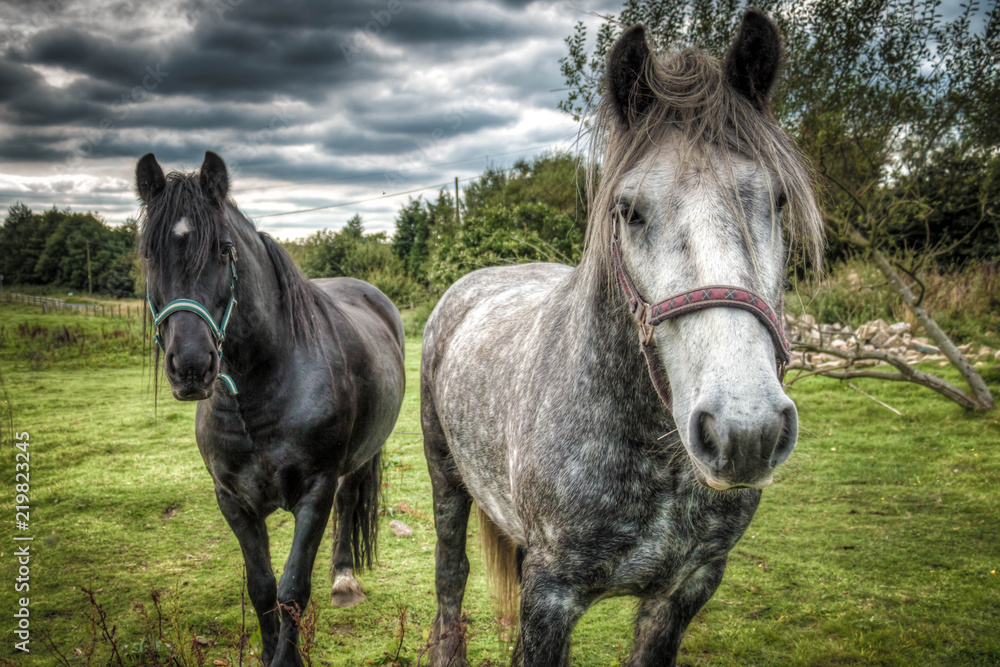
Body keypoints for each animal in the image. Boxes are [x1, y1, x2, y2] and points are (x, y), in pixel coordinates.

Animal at [136, 151, 405, 666]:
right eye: (148, 254)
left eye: (224, 250)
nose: (192, 365)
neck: (259, 394)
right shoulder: (233, 501)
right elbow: (261, 588)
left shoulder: (315, 492)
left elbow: (293, 589)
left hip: (358, 460)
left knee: (348, 501)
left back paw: (344, 579)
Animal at [420, 11, 823, 666]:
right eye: (629, 210)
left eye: (778, 200)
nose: (746, 431)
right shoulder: (551, 596)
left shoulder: (685, 589)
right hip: (446, 482)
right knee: (449, 582)